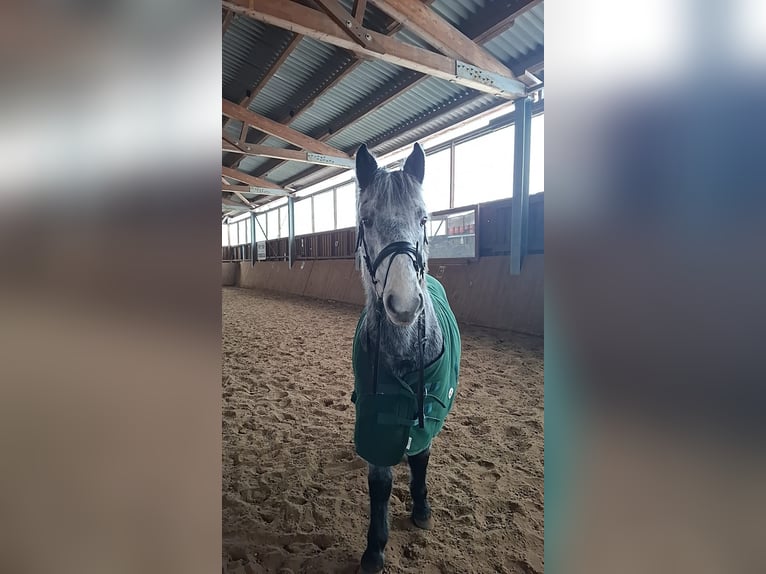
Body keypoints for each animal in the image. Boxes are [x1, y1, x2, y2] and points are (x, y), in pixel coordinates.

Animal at [350, 142, 462, 573]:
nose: (404, 304)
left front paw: (421, 510)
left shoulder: (427, 410)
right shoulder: (374, 418)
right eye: (366, 219)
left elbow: (420, 461)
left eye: (424, 217)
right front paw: (374, 549)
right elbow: (380, 484)